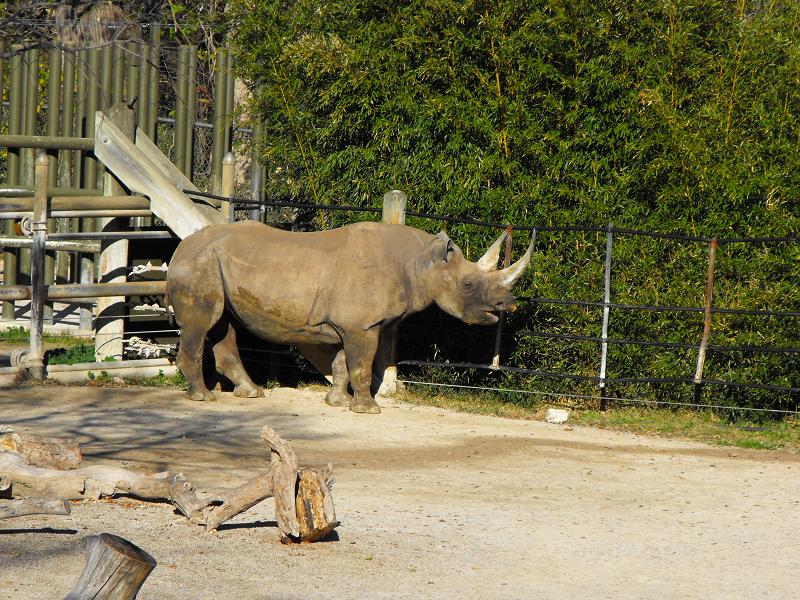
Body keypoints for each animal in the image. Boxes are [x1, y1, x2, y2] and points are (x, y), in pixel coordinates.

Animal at [166, 221, 533, 413]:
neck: (422, 263)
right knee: (204, 324)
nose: (507, 303)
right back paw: (203, 397)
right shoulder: (363, 325)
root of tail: (179, 248)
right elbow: (362, 365)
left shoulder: (352, 325)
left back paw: (251, 393)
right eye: (468, 284)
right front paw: (368, 408)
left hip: (214, 263)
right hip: (199, 263)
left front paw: (337, 401)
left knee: (222, 325)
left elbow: (343, 362)